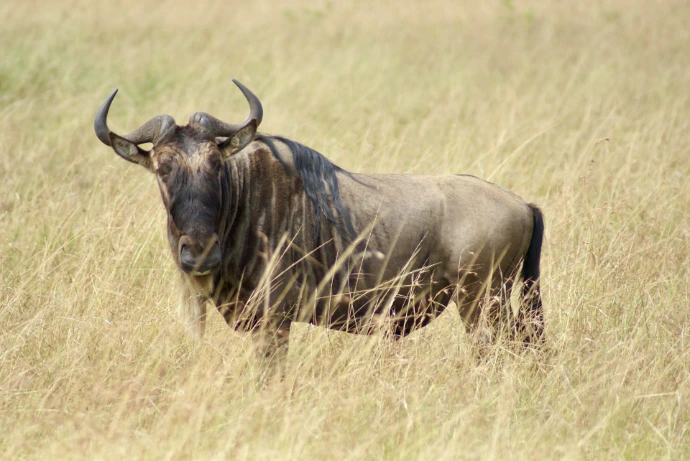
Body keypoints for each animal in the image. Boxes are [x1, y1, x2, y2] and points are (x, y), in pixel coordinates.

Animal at [94, 80, 545, 365]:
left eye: (215, 163)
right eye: (162, 168)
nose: (200, 253)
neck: (242, 202)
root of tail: (523, 204)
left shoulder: (274, 321)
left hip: (482, 304)